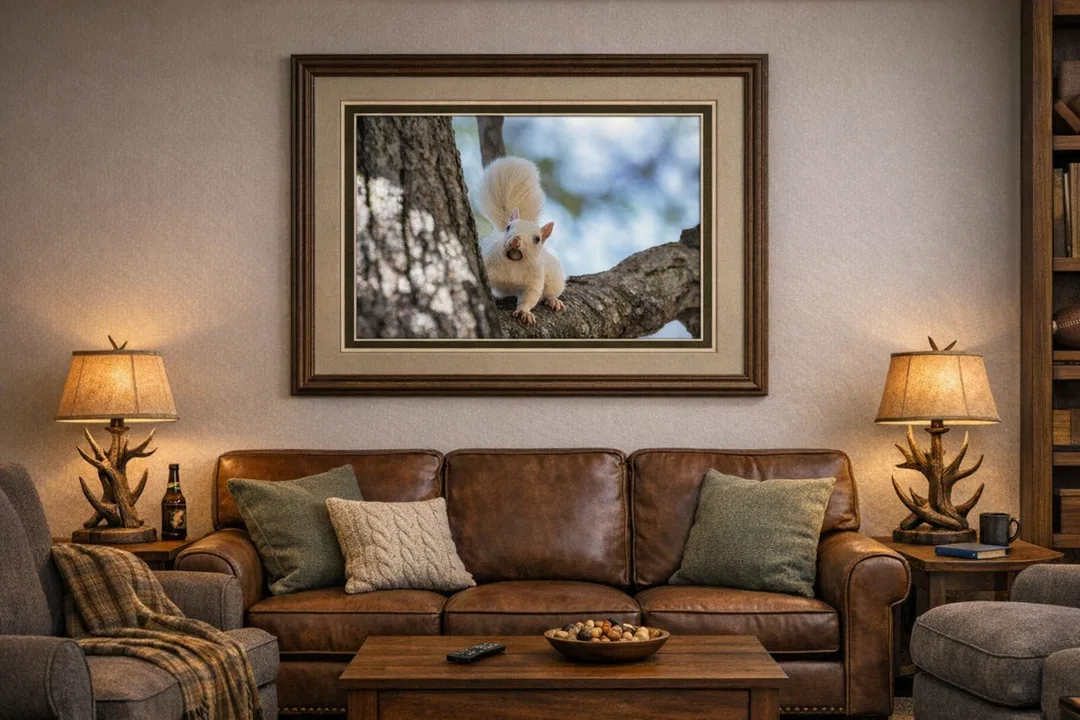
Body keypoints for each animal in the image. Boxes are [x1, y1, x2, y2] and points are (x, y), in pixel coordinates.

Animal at [476, 156, 566, 325]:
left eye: (537, 239)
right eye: (508, 227)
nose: (515, 242)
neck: (514, 263)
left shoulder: (535, 279)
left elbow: (531, 296)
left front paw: (524, 312)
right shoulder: (488, 264)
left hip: (554, 277)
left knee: (551, 290)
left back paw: (553, 300)